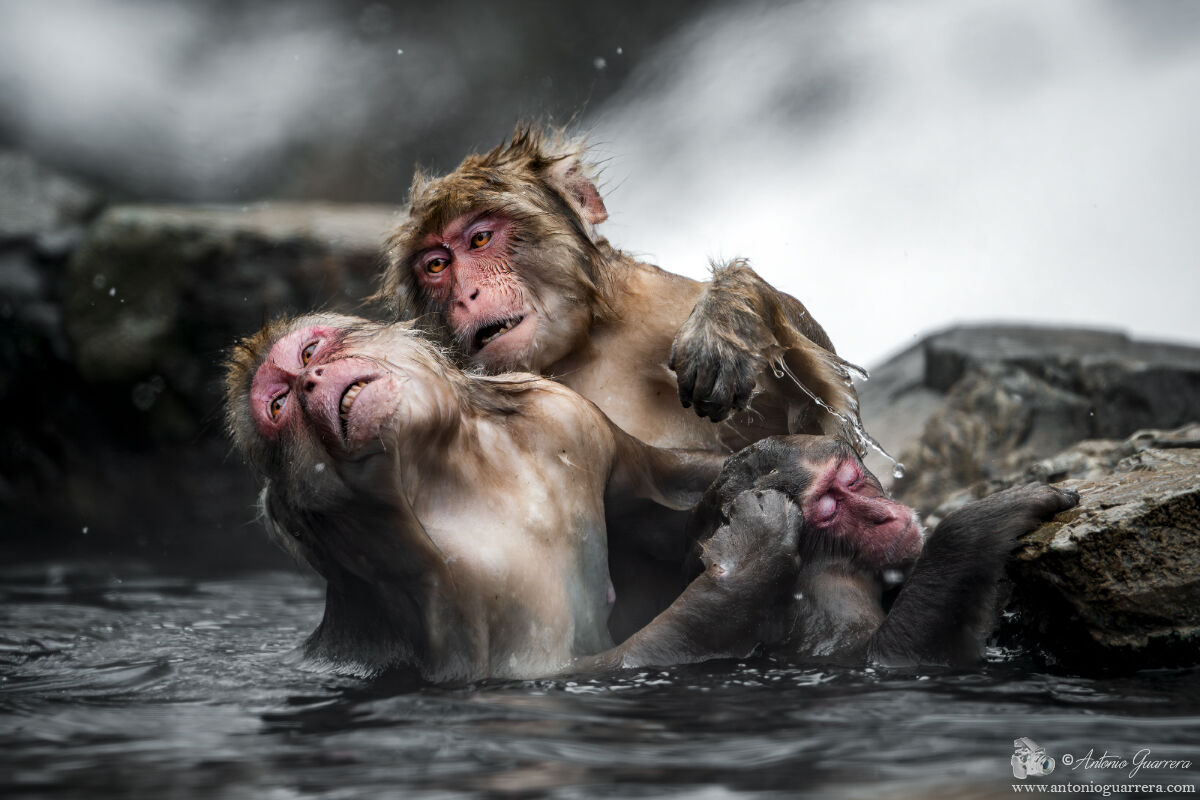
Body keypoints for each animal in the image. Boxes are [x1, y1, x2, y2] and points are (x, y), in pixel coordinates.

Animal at [224, 313, 812, 682]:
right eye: (278, 406)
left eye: (309, 351)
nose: (310, 382)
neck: (462, 467)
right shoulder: (454, 588)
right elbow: (567, 672)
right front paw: (751, 560)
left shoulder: (566, 412)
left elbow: (652, 493)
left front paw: (790, 457)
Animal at [677, 435, 1081, 667]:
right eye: (828, 510)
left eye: (851, 479)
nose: (882, 516)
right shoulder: (828, 594)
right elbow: (882, 655)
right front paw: (986, 518)